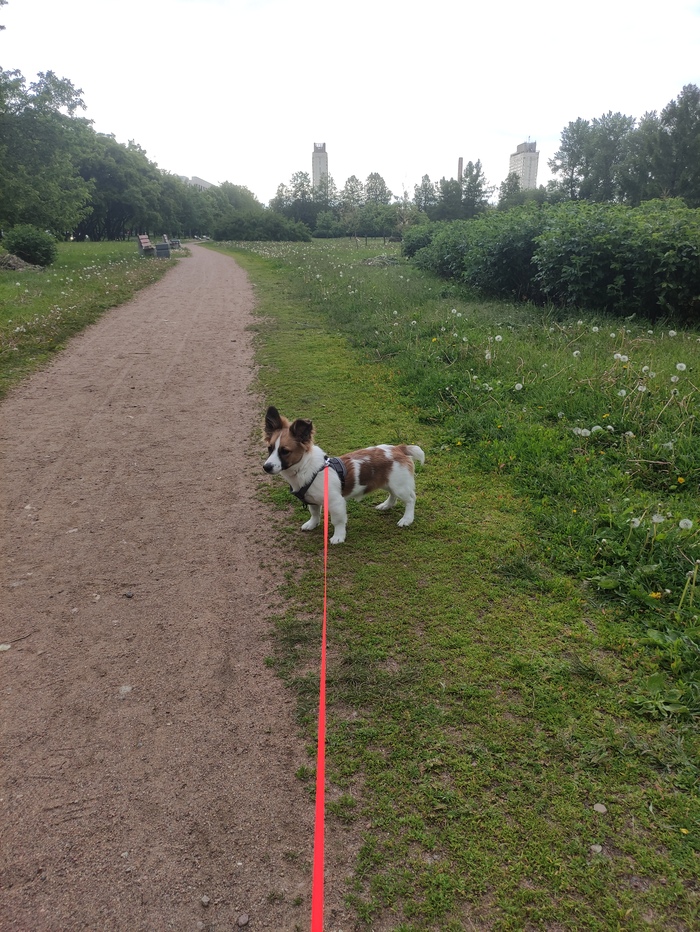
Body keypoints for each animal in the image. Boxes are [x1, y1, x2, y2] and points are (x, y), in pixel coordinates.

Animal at [263, 405, 425, 544]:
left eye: (285, 451)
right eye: (270, 448)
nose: (266, 467)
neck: (306, 468)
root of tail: (399, 448)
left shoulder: (336, 502)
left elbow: (338, 521)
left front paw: (339, 536)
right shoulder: (312, 500)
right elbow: (314, 513)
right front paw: (312, 524)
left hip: (399, 486)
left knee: (411, 499)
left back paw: (407, 519)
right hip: (389, 482)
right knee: (392, 495)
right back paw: (386, 505)